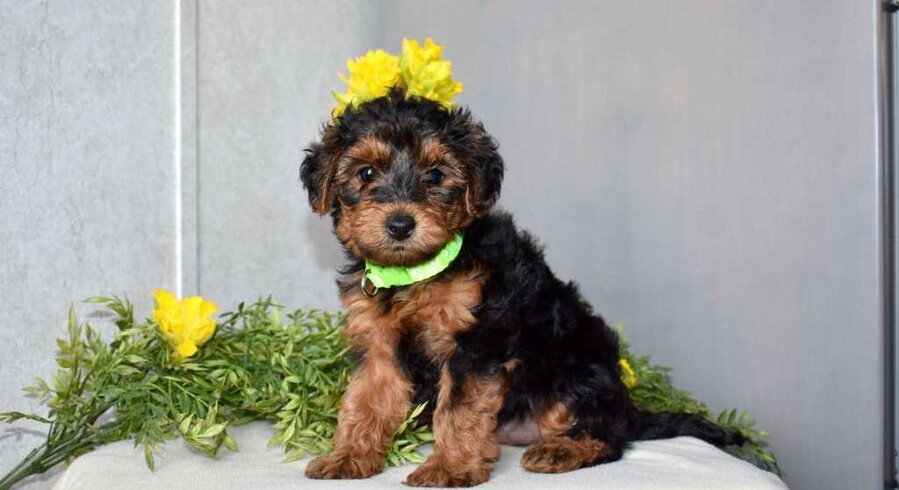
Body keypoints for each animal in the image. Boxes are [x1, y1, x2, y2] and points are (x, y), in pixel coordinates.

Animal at [300, 88, 742, 487]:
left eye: (436, 175)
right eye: (366, 173)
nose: (400, 224)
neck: (418, 271)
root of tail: (629, 407)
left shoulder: (475, 343)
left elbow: (458, 409)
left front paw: (449, 468)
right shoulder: (378, 344)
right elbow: (365, 400)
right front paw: (348, 456)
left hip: (574, 371)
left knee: (607, 435)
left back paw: (562, 449)